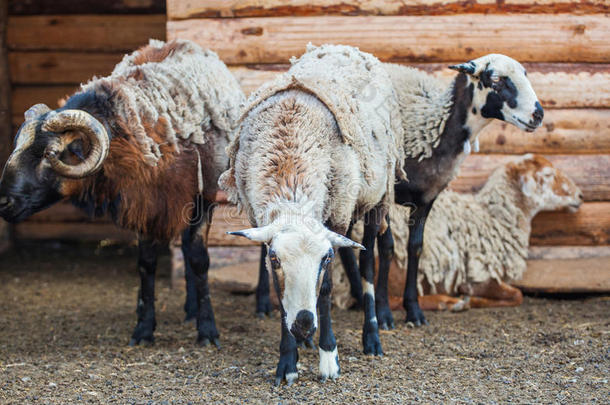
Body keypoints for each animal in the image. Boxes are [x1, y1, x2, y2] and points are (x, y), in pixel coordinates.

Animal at [218, 42, 404, 384]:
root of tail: (343, 46)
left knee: (368, 265)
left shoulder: (338, 217)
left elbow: (327, 289)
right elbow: (278, 291)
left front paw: (328, 356)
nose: (303, 323)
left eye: (326, 258)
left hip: (376, 196)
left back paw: (371, 336)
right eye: (275, 258)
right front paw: (288, 362)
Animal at [330, 154, 580, 310]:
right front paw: (470, 299)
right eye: (547, 175)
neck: (493, 217)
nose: (579, 196)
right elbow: (516, 295)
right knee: (386, 299)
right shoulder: (481, 273)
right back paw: (446, 302)